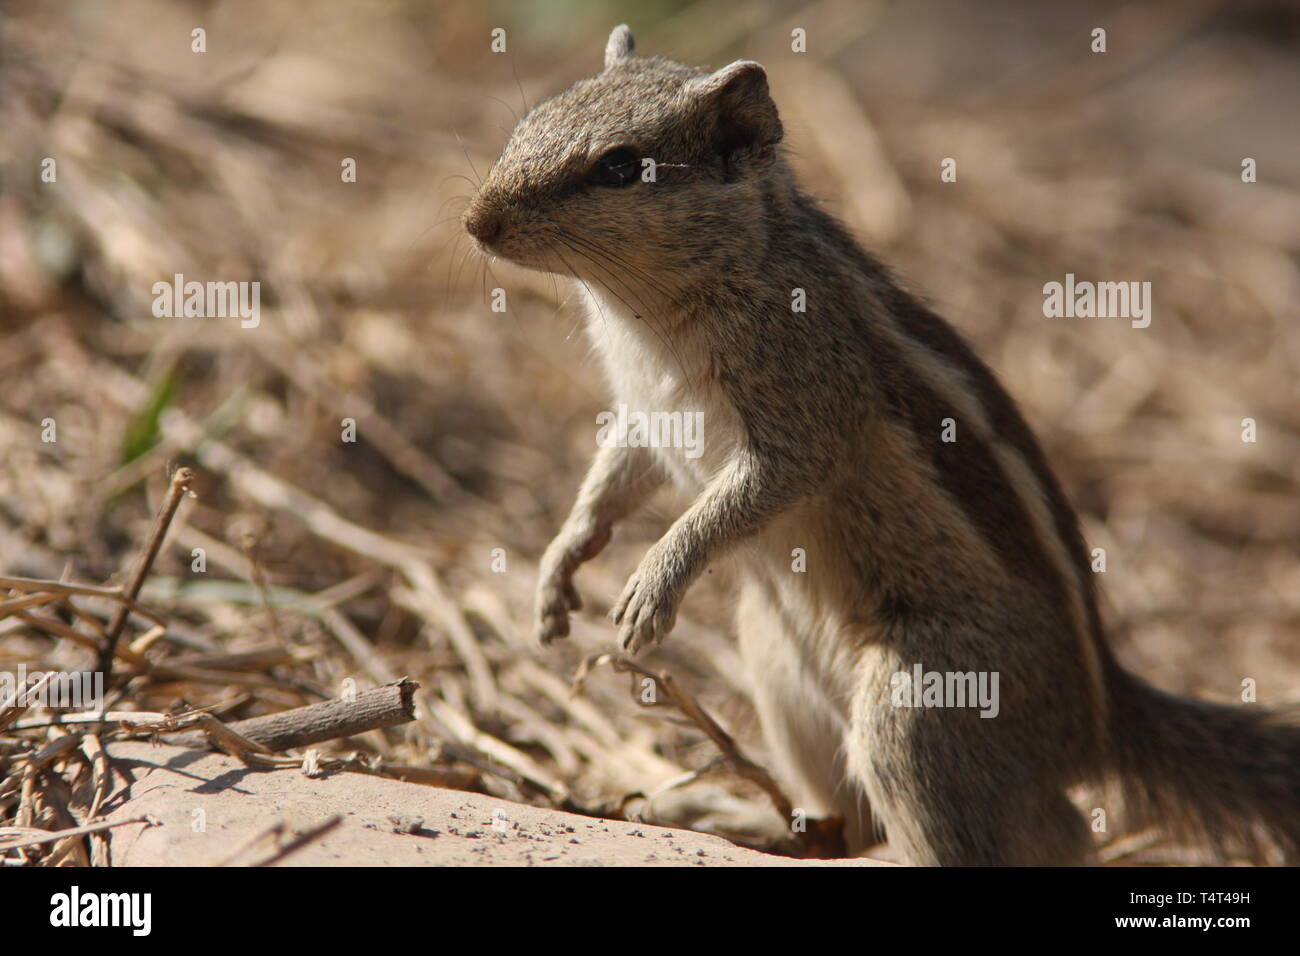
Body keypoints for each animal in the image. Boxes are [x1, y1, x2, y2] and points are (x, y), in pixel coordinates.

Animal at [462, 27, 1294, 868]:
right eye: (531, 119)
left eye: (621, 166)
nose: (474, 221)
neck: (646, 307)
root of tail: (1096, 723)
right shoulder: (644, 414)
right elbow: (611, 480)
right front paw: (559, 568)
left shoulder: (806, 409)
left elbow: (757, 486)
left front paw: (655, 580)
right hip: (774, 648)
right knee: (848, 816)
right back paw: (740, 814)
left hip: (918, 703)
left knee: (1038, 834)